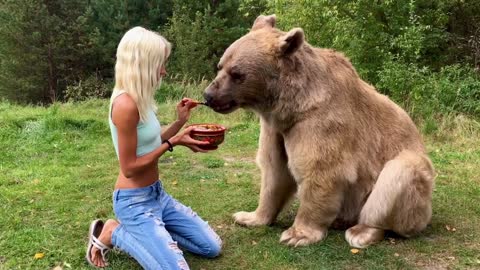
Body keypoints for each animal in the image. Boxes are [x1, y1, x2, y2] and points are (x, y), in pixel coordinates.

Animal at [202, 14, 436, 247]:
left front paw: (296, 234)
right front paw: (248, 216)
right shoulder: (275, 129)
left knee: (400, 174)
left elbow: (321, 170)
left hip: (412, 186)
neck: (291, 106)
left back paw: (362, 231)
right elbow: (274, 171)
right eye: (220, 66)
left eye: (237, 73)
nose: (208, 95)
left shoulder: (321, 122)